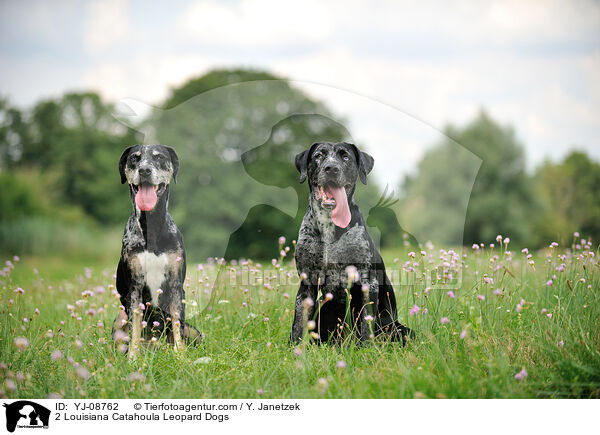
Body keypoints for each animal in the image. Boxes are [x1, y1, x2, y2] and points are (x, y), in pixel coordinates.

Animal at [115, 145, 202, 360]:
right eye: (134, 158)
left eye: (159, 157)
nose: (144, 170)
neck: (151, 227)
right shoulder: (135, 287)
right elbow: (135, 328)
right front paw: (133, 358)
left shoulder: (175, 285)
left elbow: (177, 325)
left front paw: (181, 356)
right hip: (119, 320)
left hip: (194, 332)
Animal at [290, 141, 412, 346]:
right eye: (319, 155)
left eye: (345, 157)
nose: (331, 168)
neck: (329, 225)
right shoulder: (307, 283)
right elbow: (298, 323)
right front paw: (293, 349)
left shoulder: (367, 281)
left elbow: (365, 322)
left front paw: (365, 348)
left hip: (399, 328)